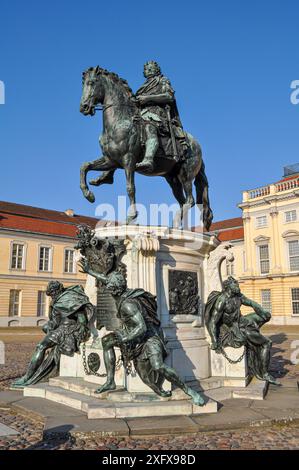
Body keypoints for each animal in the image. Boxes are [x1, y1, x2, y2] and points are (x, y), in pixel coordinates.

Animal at [79, 66, 213, 229]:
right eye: (83, 84)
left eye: (91, 82)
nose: (84, 107)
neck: (119, 122)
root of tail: (197, 145)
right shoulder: (110, 160)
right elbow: (84, 166)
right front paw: (89, 194)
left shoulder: (128, 160)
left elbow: (130, 188)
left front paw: (131, 217)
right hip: (172, 179)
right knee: (182, 202)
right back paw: (179, 227)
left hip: (185, 174)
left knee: (190, 200)